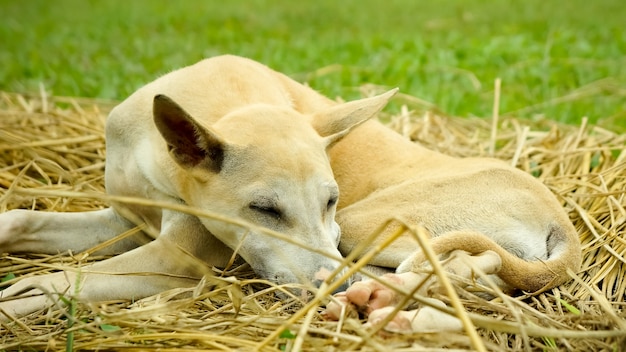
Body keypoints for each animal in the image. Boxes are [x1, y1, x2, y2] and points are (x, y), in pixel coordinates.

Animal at [0, 56, 580, 332]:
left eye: (330, 200)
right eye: (263, 210)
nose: (329, 288)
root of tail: (562, 220)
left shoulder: (176, 258)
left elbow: (64, 279)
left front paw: (23, 298)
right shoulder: (124, 221)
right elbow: (21, 221)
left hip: (368, 227)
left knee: (457, 266)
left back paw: (382, 300)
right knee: (482, 276)